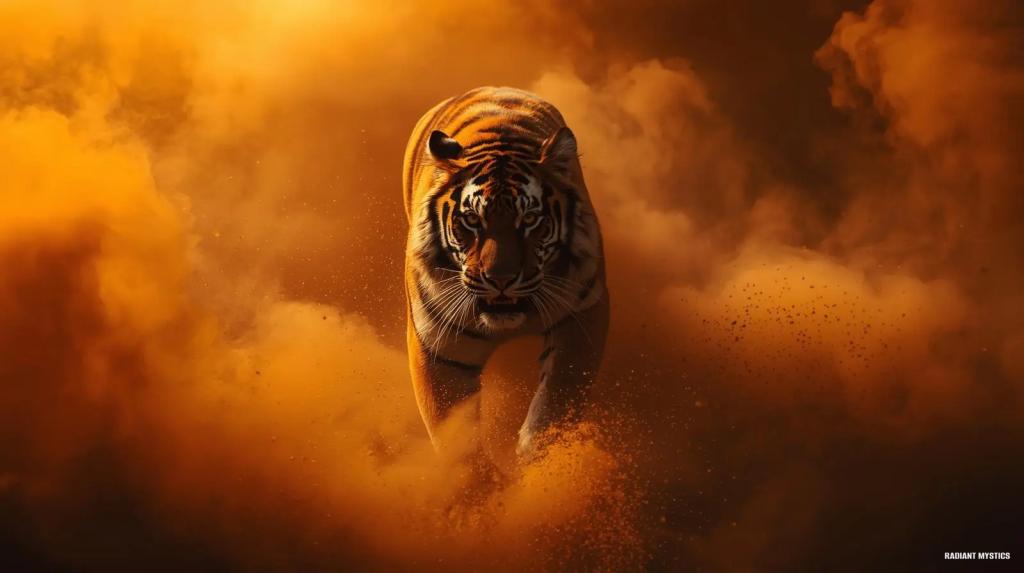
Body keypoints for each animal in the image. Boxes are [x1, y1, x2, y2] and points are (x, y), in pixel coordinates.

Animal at [402, 86, 609, 472]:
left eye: (529, 219)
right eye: (472, 220)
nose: (500, 278)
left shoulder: (582, 315)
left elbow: (557, 398)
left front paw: (538, 465)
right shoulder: (440, 344)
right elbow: (455, 438)